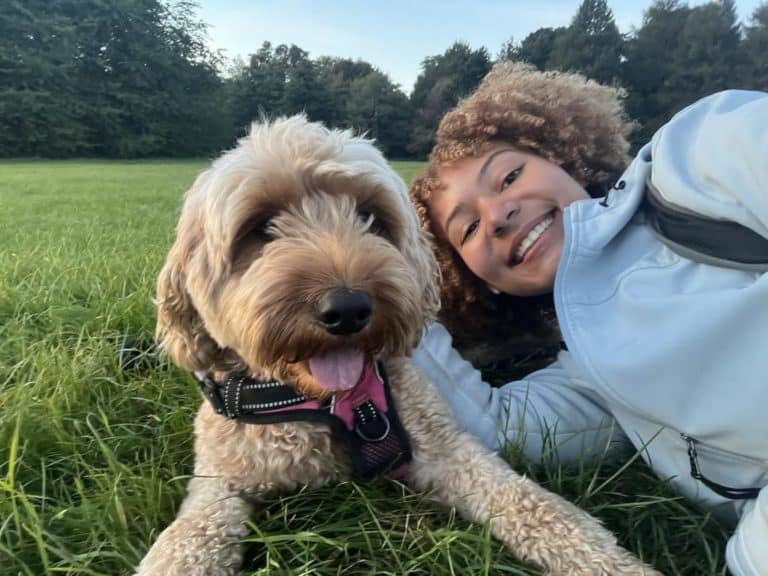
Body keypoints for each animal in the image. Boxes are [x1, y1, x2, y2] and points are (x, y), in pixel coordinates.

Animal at [135, 117, 656, 576]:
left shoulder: (445, 446)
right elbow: (187, 537)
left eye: (369, 217)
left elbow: (536, 506)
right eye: (261, 227)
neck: (322, 405)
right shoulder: (219, 480)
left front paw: (617, 565)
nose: (347, 308)